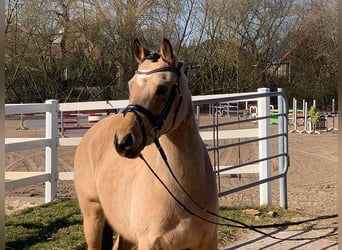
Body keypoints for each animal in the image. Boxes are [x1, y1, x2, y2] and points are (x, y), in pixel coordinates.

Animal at [75, 38, 219, 249]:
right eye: (131, 85)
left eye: (162, 89)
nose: (123, 142)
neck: (182, 190)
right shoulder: (149, 243)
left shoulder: (208, 241)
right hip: (93, 215)